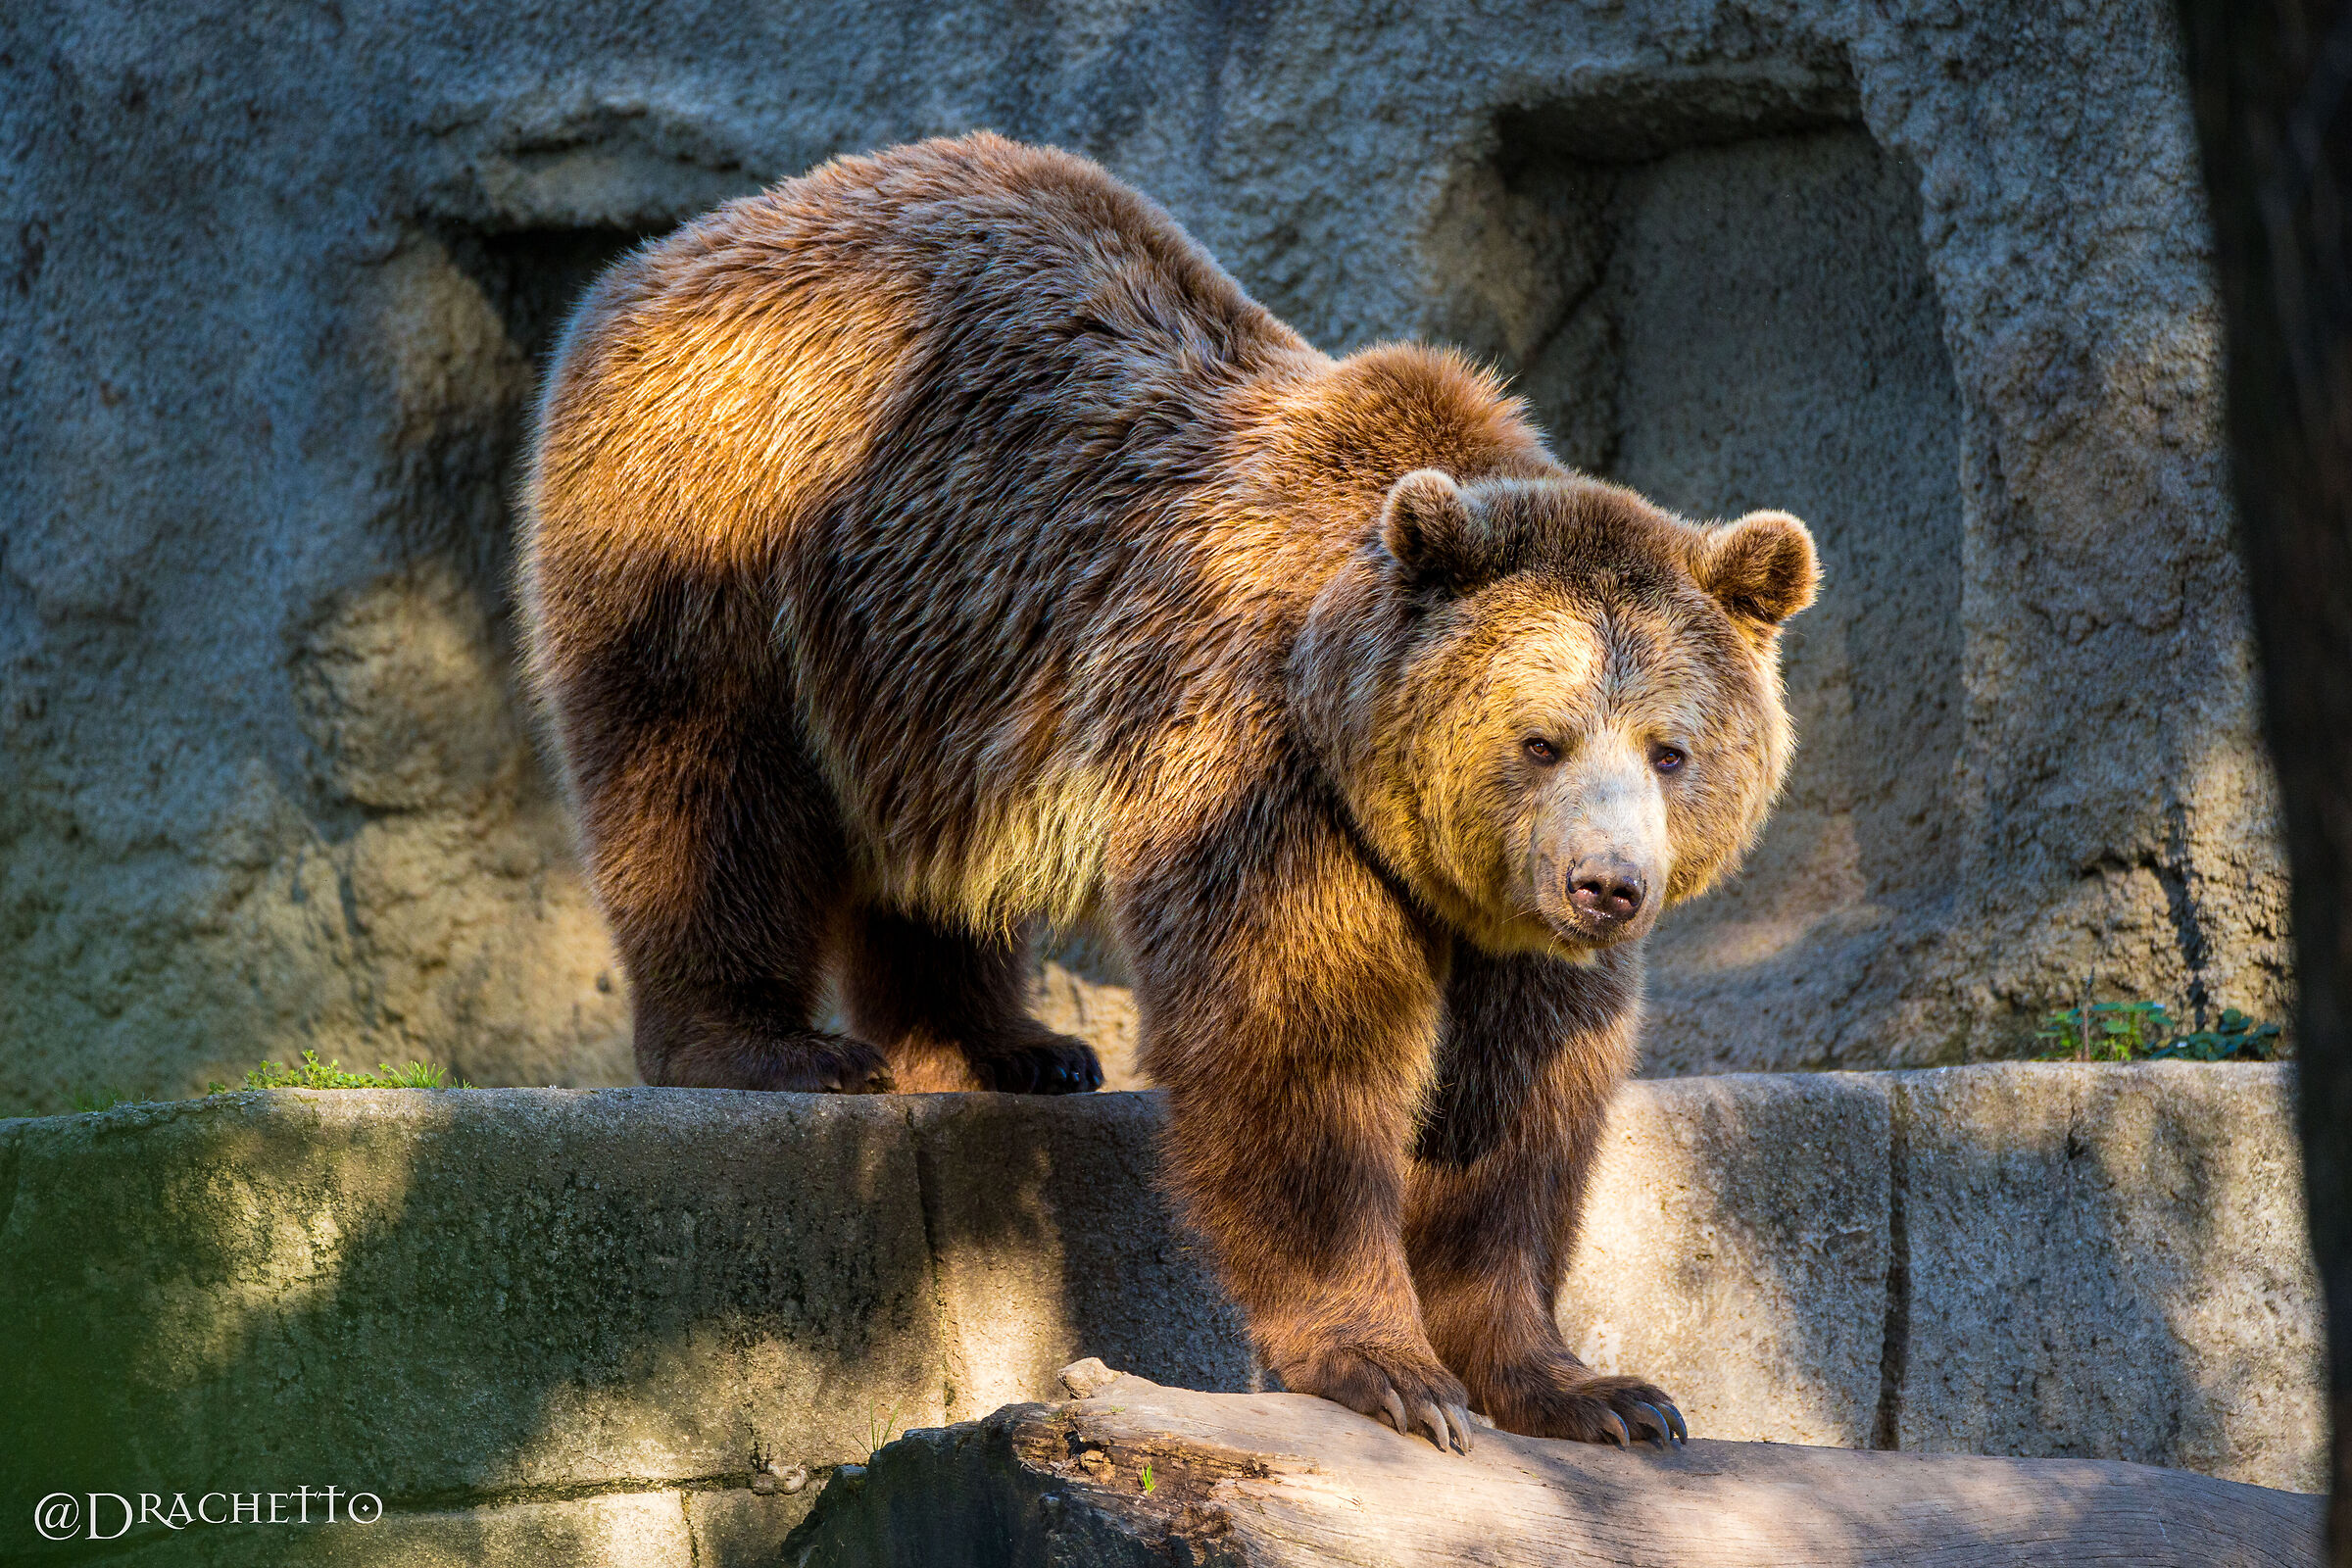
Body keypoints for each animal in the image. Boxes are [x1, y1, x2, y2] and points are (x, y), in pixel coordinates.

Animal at [520, 132, 1818, 1453]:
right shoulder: (1257, 762)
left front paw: (1591, 1389)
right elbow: (1295, 1039)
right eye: (1541, 739)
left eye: (1670, 749)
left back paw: (1010, 1047)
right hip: (736, 518)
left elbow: (1515, 1111)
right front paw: (1389, 1368)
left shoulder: (1504, 917)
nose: (1607, 885)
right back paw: (778, 1045)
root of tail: (681, 243)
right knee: (704, 781)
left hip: (922, 673)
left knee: (928, 870)